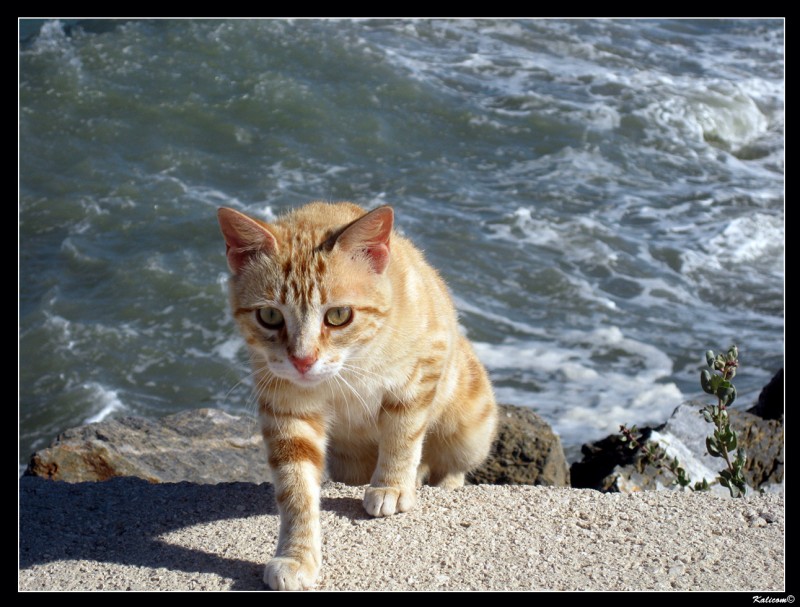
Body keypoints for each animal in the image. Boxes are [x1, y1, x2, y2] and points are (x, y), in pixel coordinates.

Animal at [217, 203, 494, 588]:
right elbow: (296, 490)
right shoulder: (287, 408)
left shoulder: (422, 369)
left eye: (338, 315)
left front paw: (391, 486)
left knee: (452, 466)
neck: (346, 369)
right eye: (270, 315)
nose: (303, 360)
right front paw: (296, 555)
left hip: (469, 430)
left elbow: (402, 435)